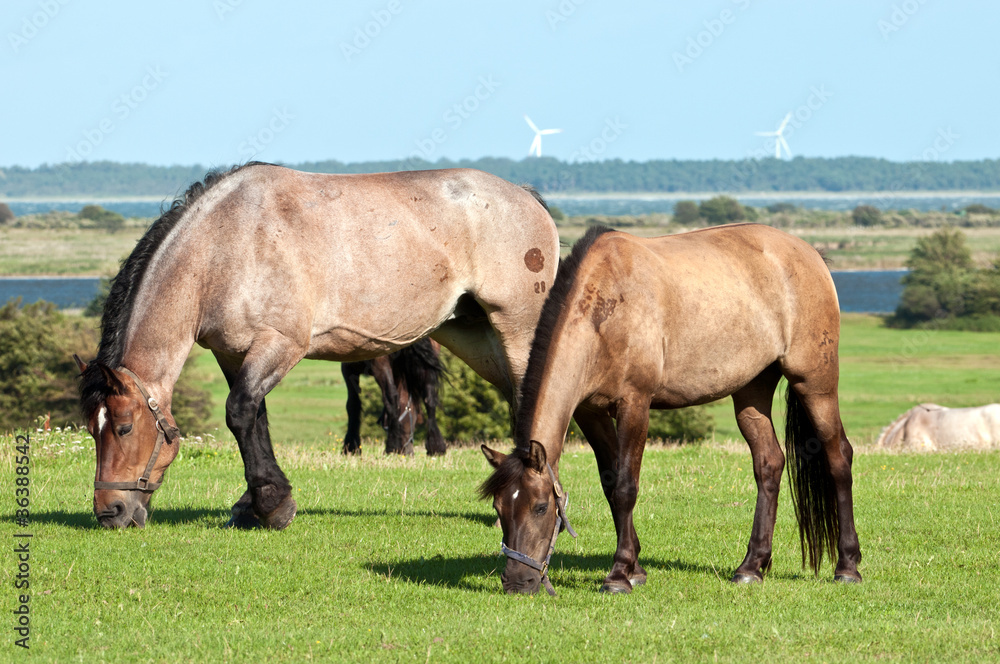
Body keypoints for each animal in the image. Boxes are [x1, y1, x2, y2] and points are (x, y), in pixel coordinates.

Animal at [76, 163, 564, 532]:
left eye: (123, 428)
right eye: (92, 430)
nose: (110, 512)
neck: (224, 246)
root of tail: (526, 198)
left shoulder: (281, 344)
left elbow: (240, 411)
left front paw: (271, 504)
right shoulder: (234, 354)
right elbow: (254, 418)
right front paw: (255, 504)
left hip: (516, 329)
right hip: (475, 336)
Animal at [480, 224, 864, 596]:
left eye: (541, 507)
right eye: (499, 507)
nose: (516, 583)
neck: (604, 309)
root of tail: (812, 255)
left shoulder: (635, 405)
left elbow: (626, 487)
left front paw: (618, 575)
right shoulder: (591, 413)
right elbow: (610, 483)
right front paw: (635, 568)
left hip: (814, 383)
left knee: (838, 457)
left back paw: (847, 566)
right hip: (752, 391)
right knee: (769, 463)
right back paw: (751, 567)